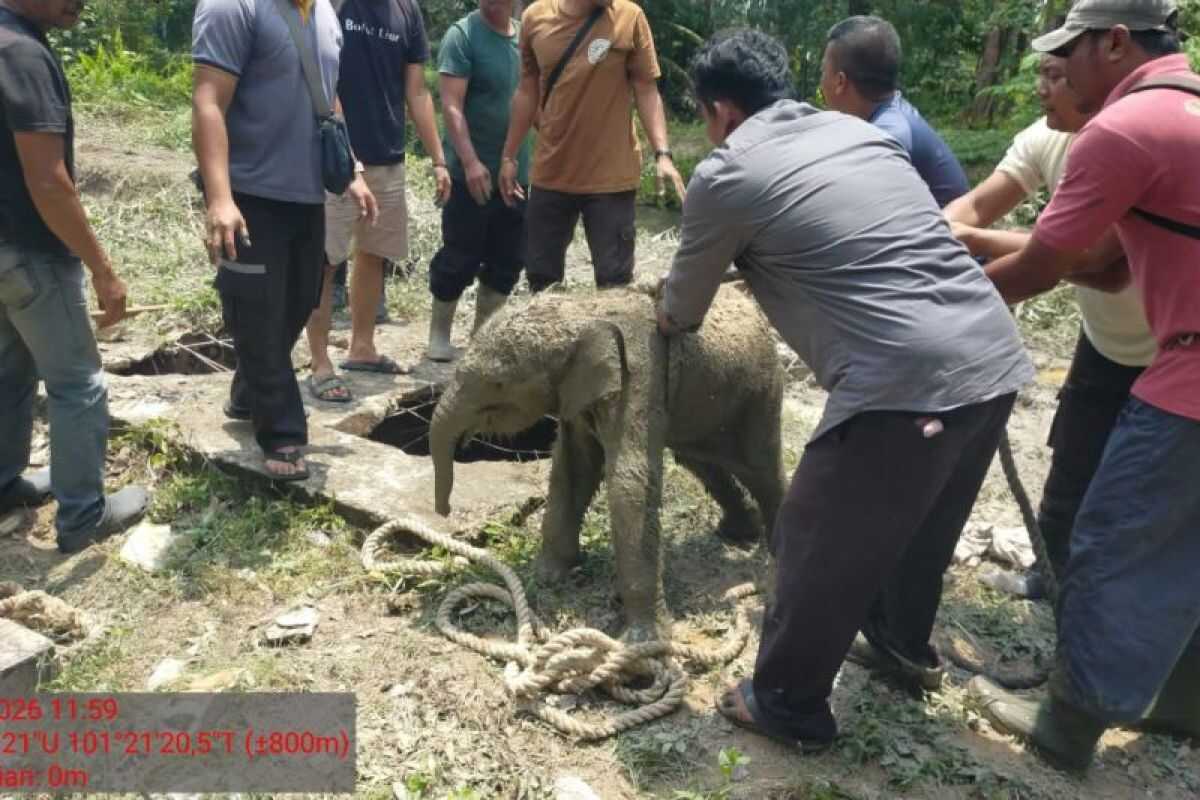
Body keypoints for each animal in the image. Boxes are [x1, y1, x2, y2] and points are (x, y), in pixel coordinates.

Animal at [430, 284, 785, 641]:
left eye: (499, 384)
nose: (444, 512)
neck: (585, 312)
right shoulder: (577, 395)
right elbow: (573, 468)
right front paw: (547, 577)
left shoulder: (639, 380)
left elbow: (630, 481)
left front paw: (645, 639)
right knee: (698, 461)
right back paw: (738, 532)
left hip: (760, 391)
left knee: (758, 467)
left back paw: (771, 553)